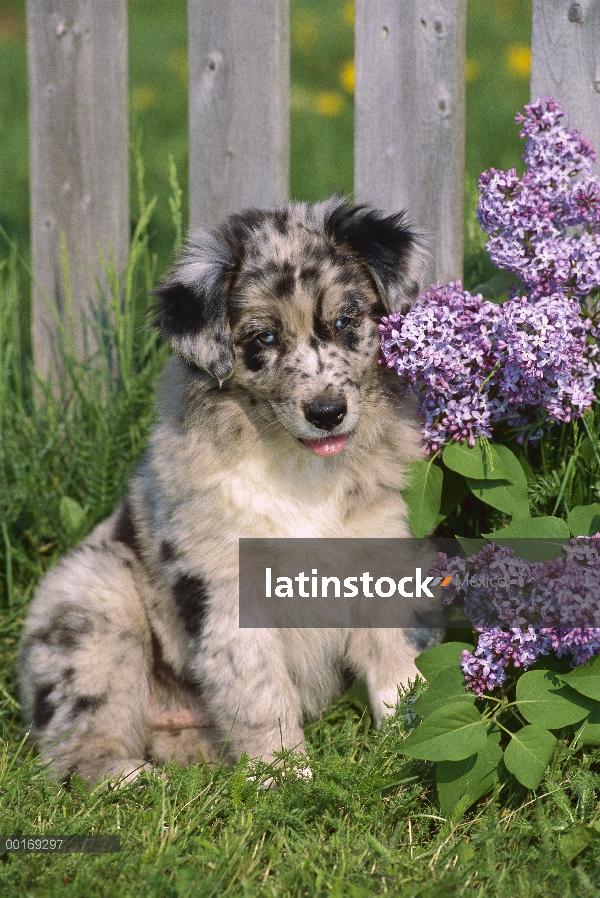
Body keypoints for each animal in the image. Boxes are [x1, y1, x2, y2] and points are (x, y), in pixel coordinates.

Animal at [18, 198, 426, 784]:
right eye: (263, 339)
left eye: (346, 321)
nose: (327, 413)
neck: (299, 468)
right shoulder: (223, 586)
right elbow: (260, 690)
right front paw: (286, 779)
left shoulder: (379, 553)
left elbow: (397, 668)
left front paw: (413, 742)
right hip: (93, 612)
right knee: (73, 748)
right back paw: (130, 779)